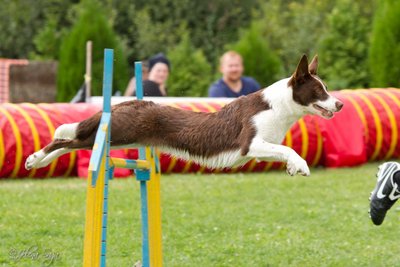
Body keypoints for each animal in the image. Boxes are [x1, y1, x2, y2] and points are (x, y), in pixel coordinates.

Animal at [25, 55, 344, 176]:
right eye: (320, 90)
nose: (341, 104)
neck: (279, 107)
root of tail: (123, 104)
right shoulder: (250, 144)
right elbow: (288, 148)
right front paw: (300, 165)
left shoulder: (262, 147)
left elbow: (283, 149)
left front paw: (292, 167)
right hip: (117, 133)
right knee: (65, 141)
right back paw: (34, 159)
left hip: (115, 138)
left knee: (71, 141)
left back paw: (38, 161)